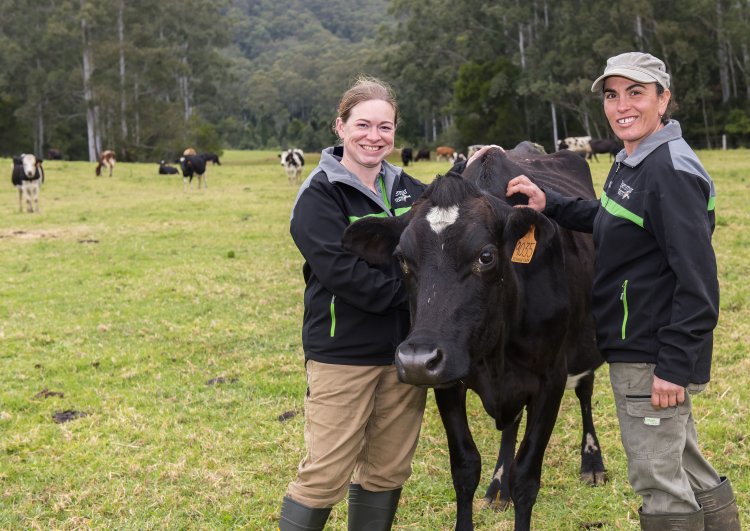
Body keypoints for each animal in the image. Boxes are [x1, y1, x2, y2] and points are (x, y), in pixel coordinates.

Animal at [344, 147, 608, 531]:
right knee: (510, 426)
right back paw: (498, 488)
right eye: (402, 259)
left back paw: (592, 463)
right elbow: (465, 468)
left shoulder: (551, 379)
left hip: (583, 348)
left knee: (585, 392)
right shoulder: (447, 381)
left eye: (486, 256)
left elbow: (526, 476)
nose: (416, 360)